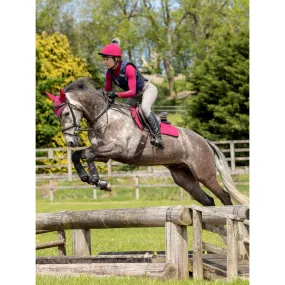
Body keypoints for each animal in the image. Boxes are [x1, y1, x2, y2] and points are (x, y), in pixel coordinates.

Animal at [45, 76, 247, 205]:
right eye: (57, 115)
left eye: (65, 113)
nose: (70, 142)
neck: (103, 116)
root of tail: (204, 141)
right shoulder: (104, 153)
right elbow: (80, 155)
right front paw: (91, 179)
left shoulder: (118, 149)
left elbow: (87, 155)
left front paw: (96, 180)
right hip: (183, 177)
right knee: (208, 200)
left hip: (204, 174)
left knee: (225, 196)